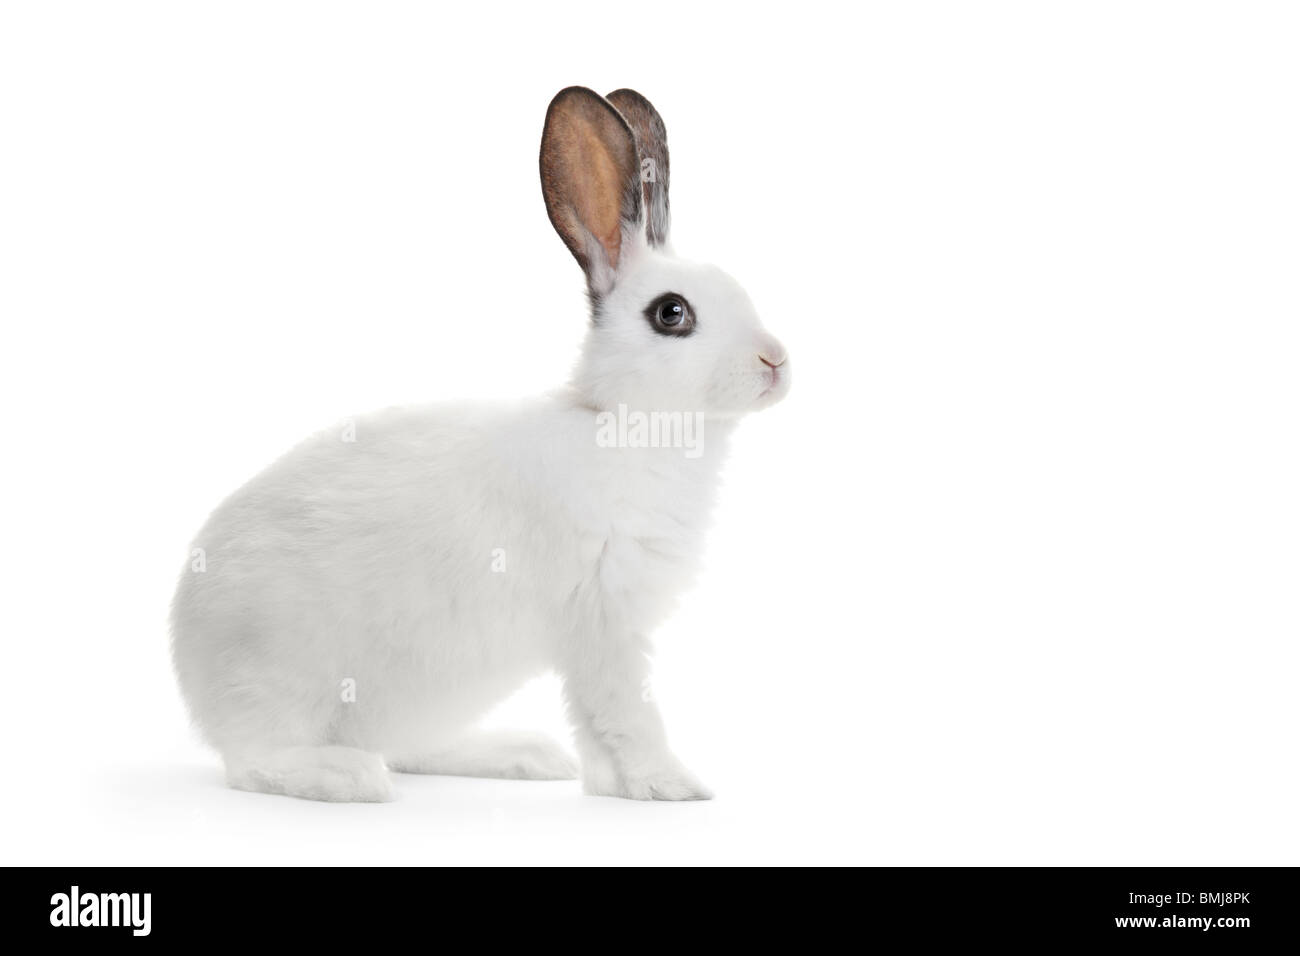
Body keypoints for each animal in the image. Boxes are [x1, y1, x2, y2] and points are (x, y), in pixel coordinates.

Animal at [170, 86, 790, 802]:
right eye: (672, 314)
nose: (777, 362)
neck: (624, 423)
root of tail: (190, 662)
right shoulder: (604, 623)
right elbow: (624, 713)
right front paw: (672, 785)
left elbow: (596, 725)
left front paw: (611, 786)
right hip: (287, 678)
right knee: (256, 761)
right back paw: (348, 776)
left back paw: (523, 755)